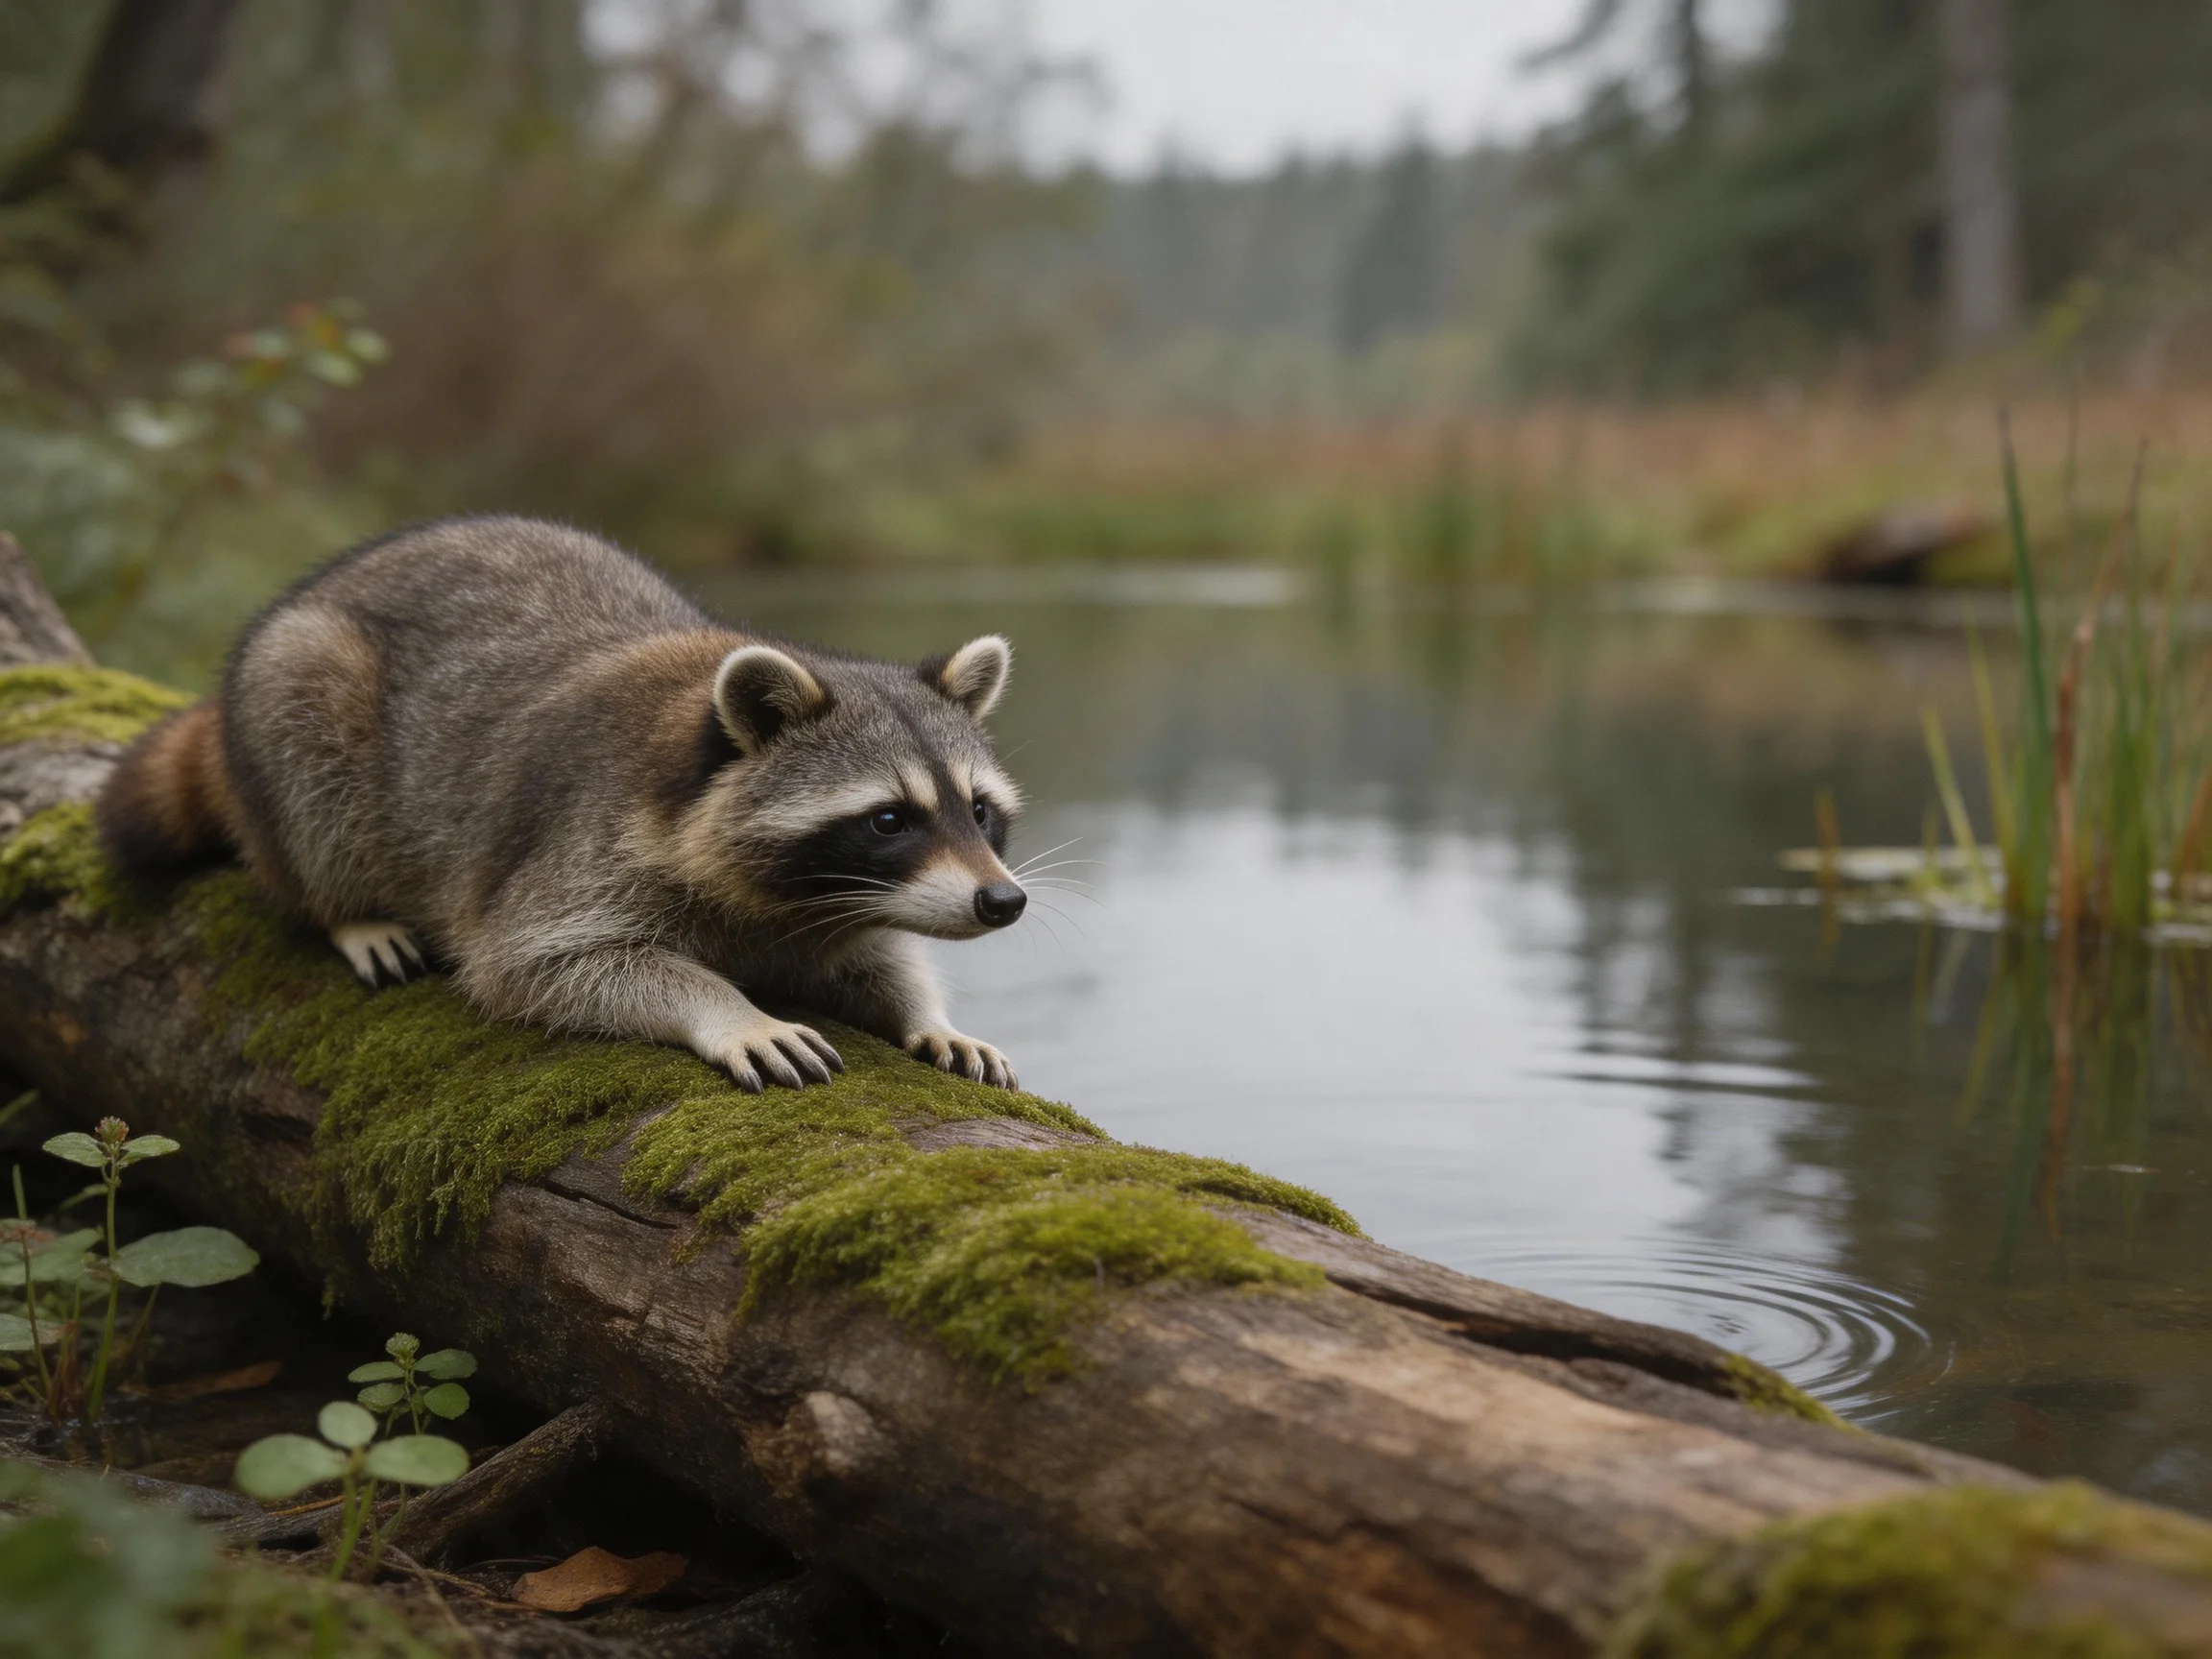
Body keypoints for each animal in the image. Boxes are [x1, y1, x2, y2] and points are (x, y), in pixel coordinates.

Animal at [96, 515, 1029, 1091]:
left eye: (978, 810)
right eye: (889, 818)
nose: (1003, 901)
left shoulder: (836, 911)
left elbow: (882, 959)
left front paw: (928, 1014)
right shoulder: (584, 847)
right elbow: (542, 963)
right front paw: (726, 1007)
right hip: (294, 691)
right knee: (312, 797)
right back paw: (346, 907)